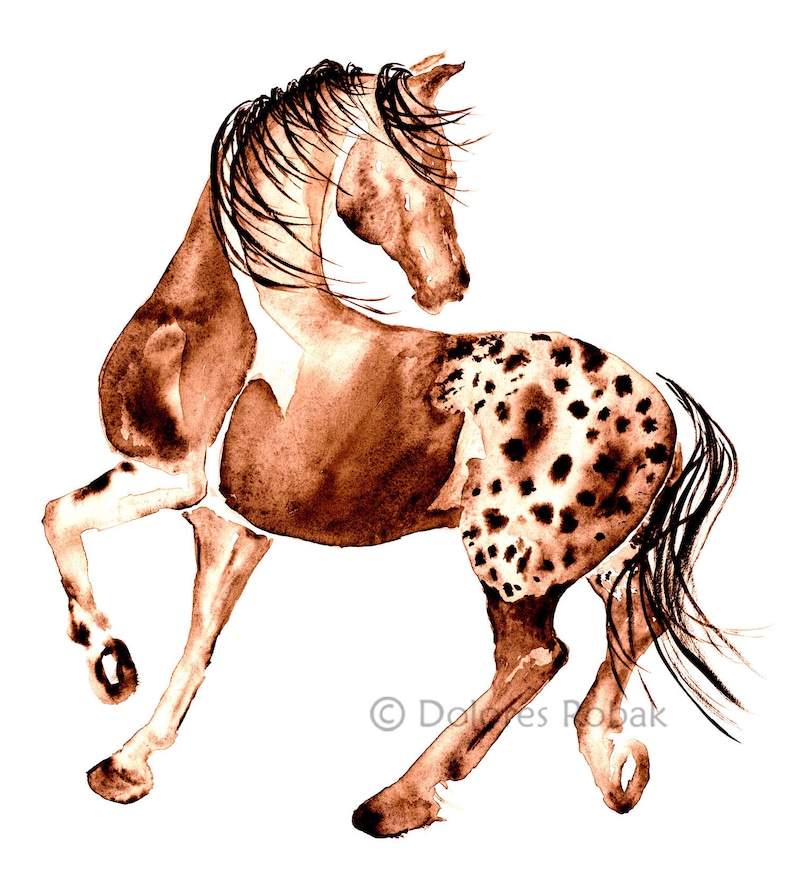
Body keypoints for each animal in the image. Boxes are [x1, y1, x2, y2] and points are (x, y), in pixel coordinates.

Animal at [43, 53, 743, 837]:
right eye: (423, 166)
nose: (452, 284)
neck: (224, 315)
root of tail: (667, 409)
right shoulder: (229, 526)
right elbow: (199, 637)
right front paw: (127, 764)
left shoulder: (170, 478)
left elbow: (58, 519)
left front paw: (111, 668)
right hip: (606, 559)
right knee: (632, 623)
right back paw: (601, 765)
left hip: (512, 563)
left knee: (536, 657)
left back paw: (398, 801)